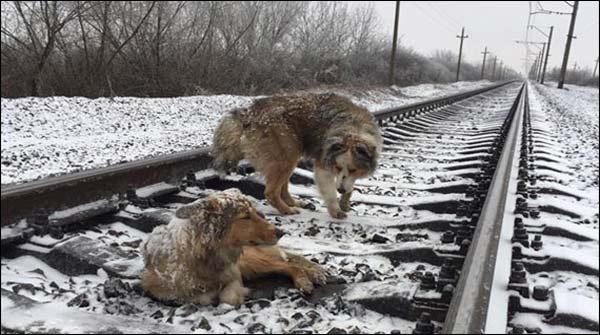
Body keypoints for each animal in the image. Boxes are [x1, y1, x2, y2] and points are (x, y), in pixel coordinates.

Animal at [140, 190, 326, 306]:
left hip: (251, 261)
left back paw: (307, 280)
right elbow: (194, 297)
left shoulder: (235, 274)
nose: (281, 232)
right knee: (288, 262)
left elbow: (227, 297)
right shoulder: (158, 289)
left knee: (289, 264)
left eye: (255, 212)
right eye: (245, 216)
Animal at [213, 93, 382, 219]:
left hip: (290, 154)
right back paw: (287, 210)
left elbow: (349, 185)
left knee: (282, 189)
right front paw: (336, 209)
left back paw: (296, 203)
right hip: (286, 155)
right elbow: (329, 191)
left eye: (354, 170)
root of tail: (247, 114)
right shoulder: (323, 165)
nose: (340, 190)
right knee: (271, 192)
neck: (353, 128)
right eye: (337, 167)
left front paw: (345, 201)